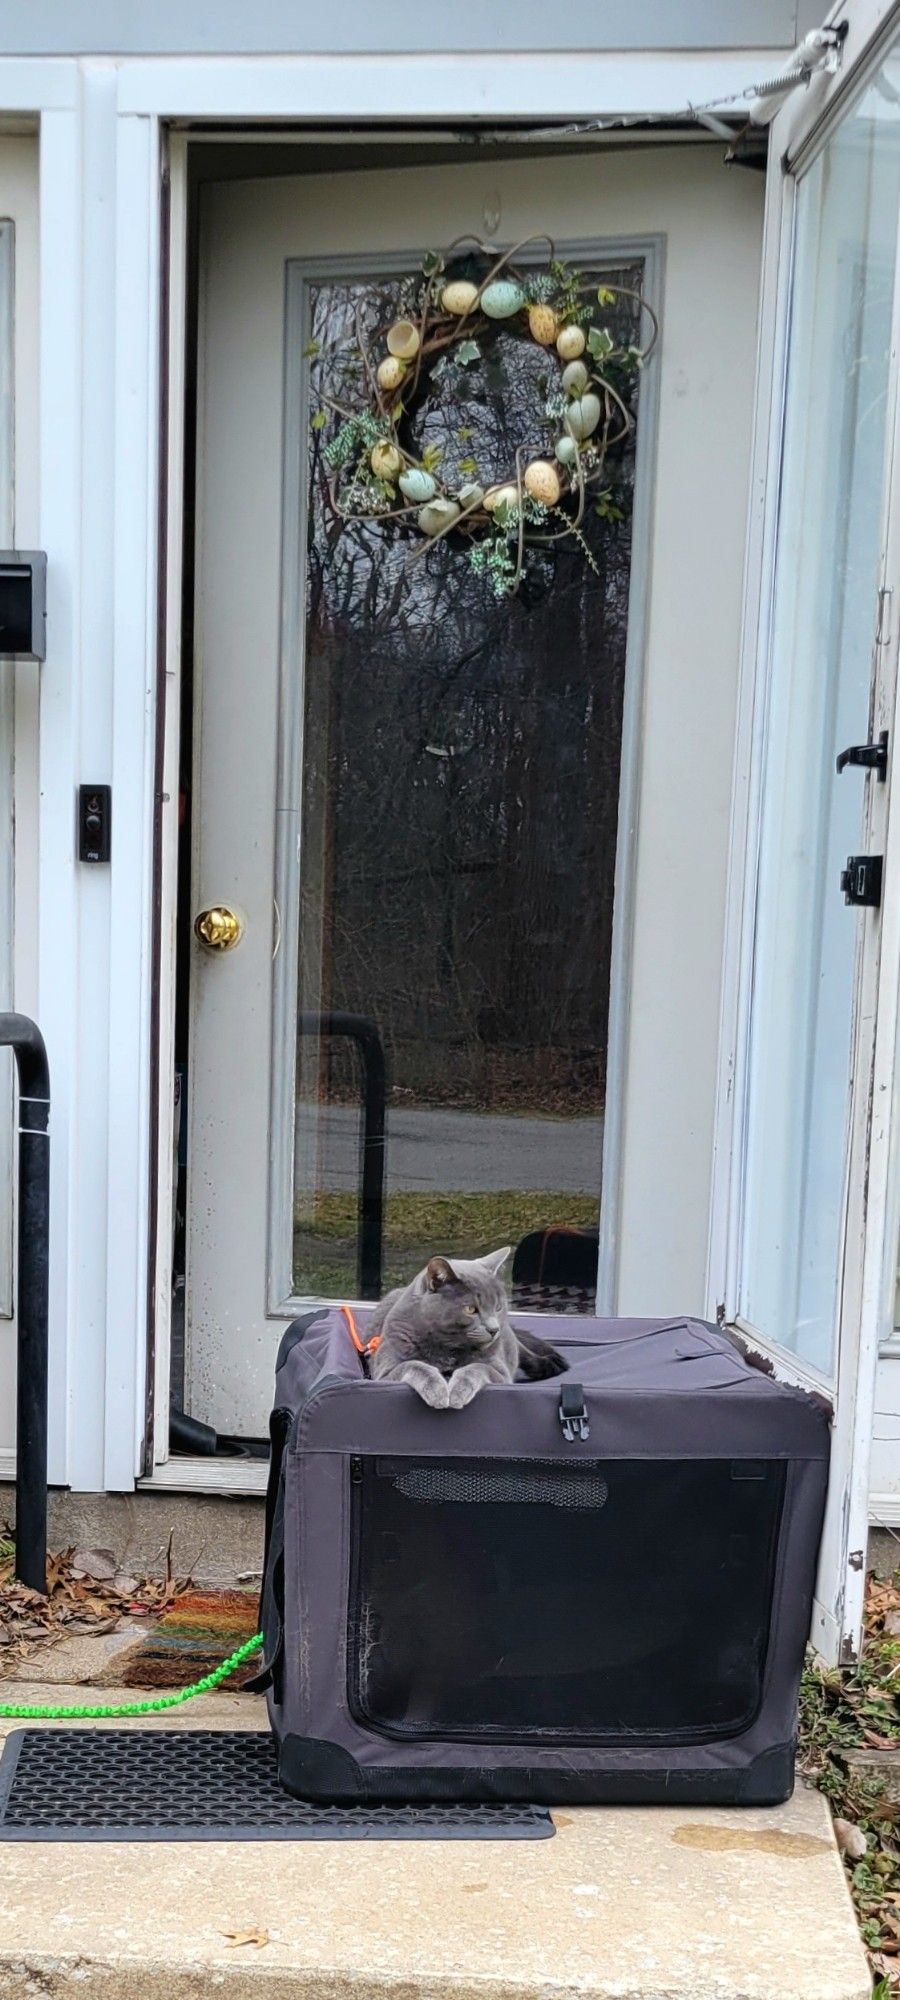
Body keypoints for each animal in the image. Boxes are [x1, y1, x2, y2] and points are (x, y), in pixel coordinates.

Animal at [364, 1248, 564, 1408]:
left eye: (498, 1307)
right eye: (471, 1309)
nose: (494, 1330)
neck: (447, 1345)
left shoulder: (500, 1372)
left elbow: (476, 1367)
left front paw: (458, 1391)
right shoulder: (384, 1372)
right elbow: (414, 1365)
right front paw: (436, 1390)